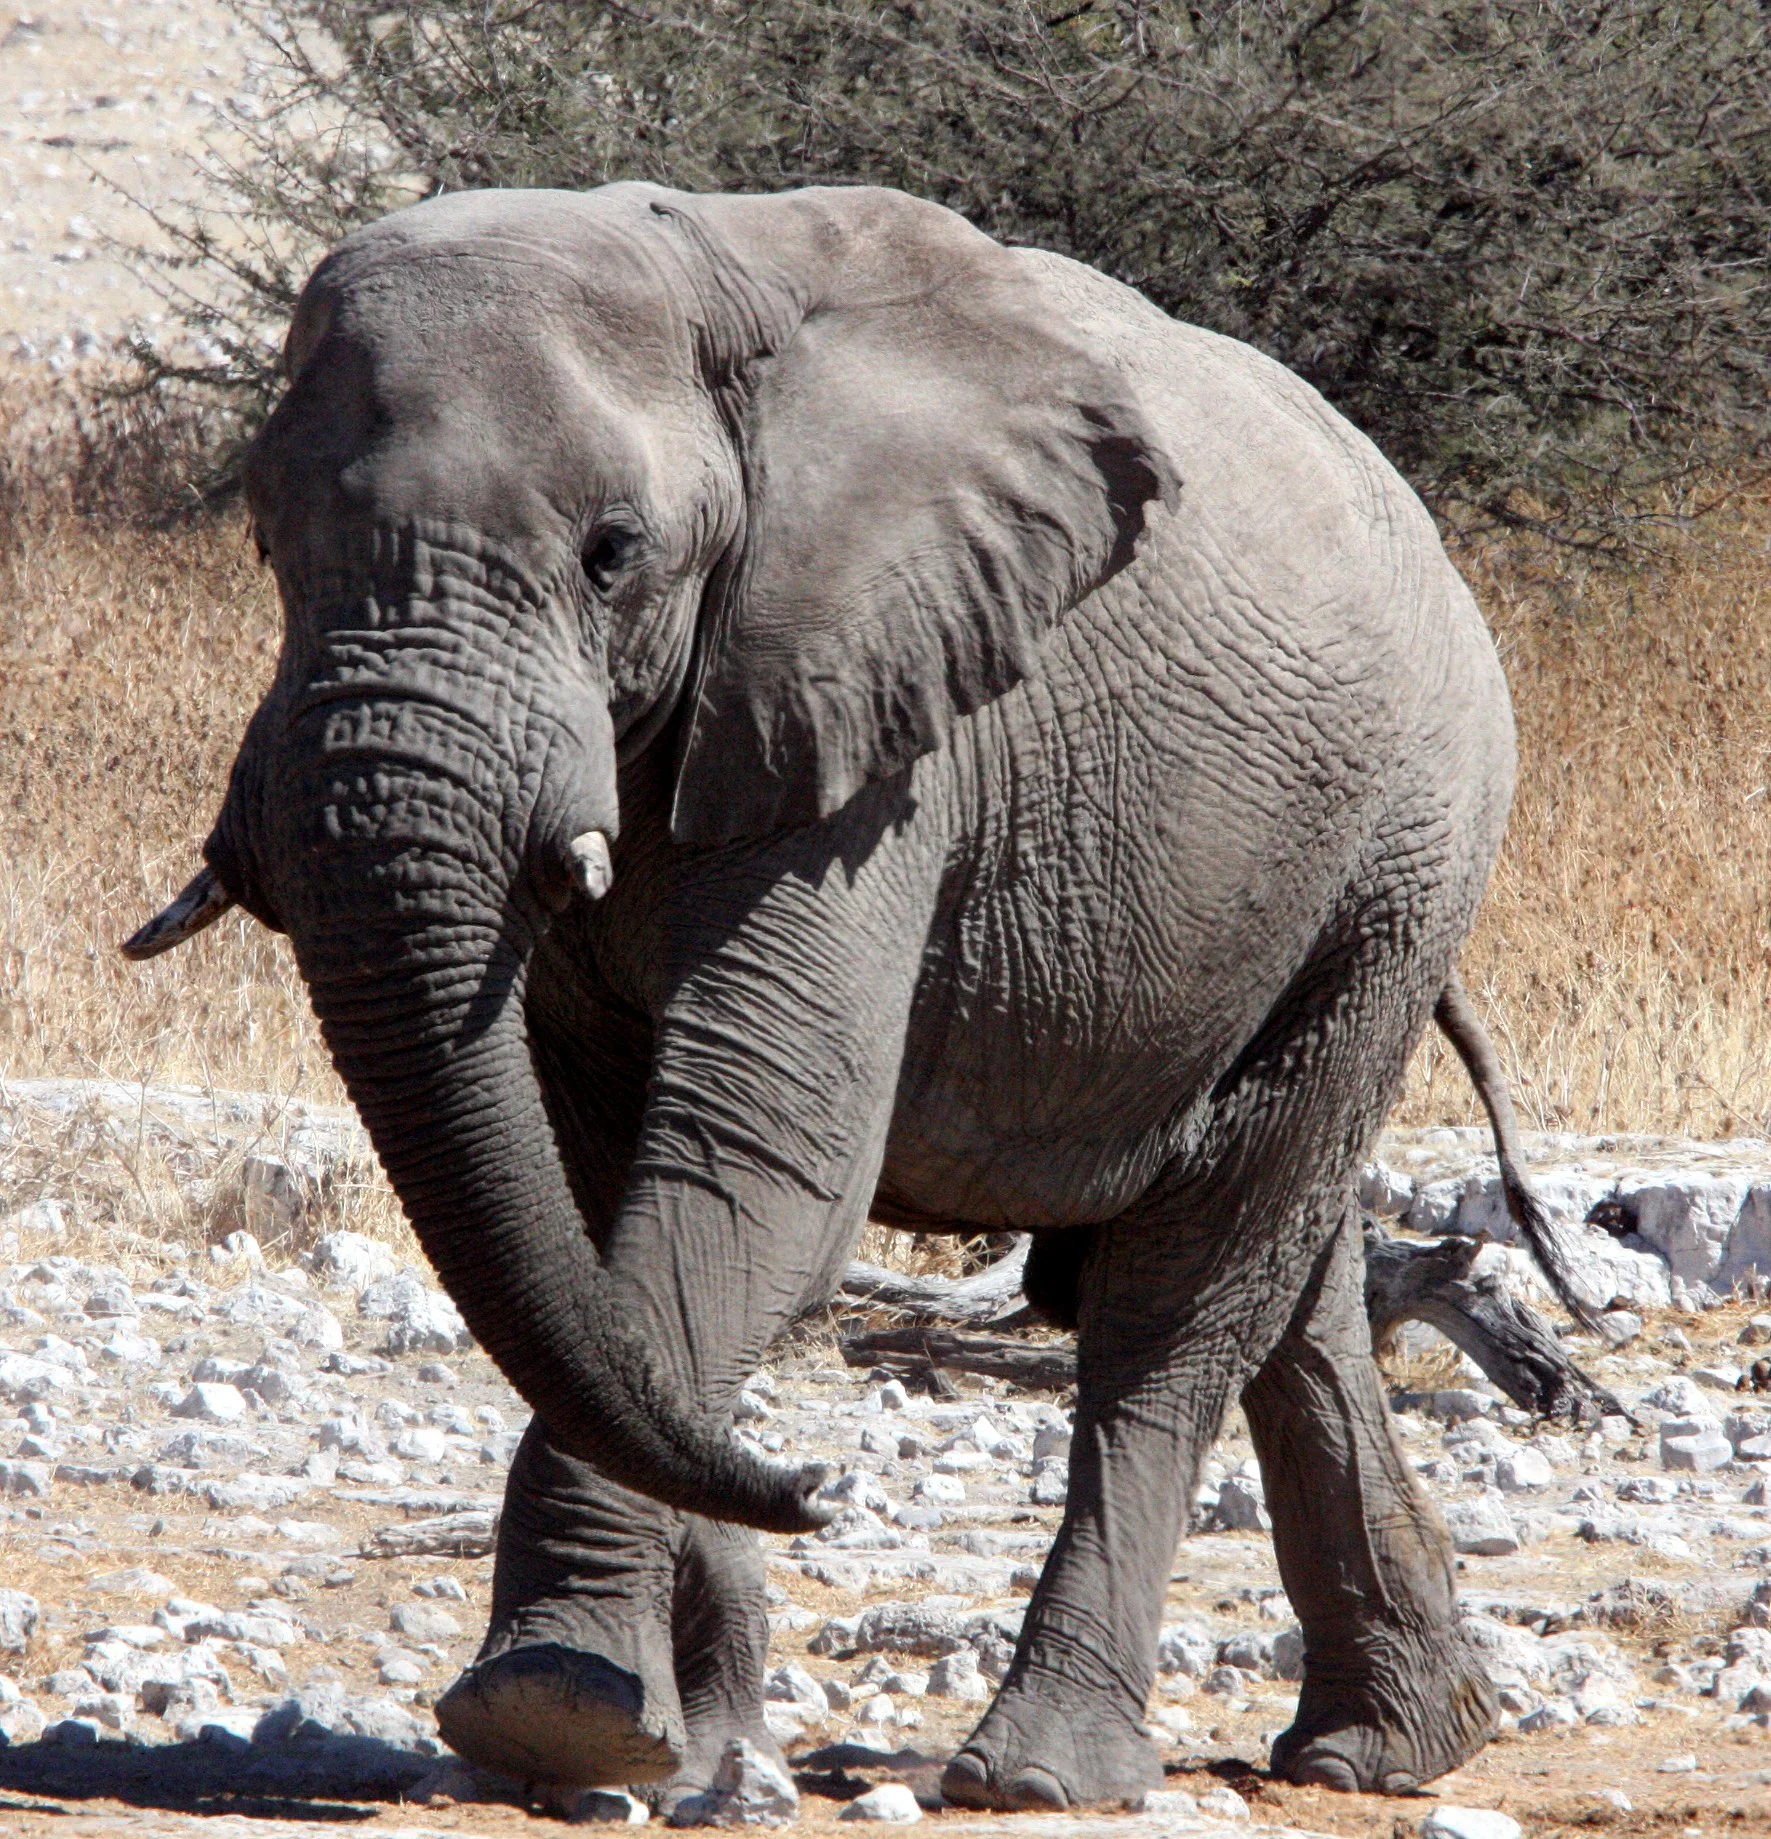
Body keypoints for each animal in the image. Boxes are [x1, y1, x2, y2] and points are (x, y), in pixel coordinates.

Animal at [125, 182, 1585, 1813]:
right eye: (266, 544)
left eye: (612, 553)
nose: (816, 1488)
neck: (703, 275)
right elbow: (604, 1208)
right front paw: (682, 1757)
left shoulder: (876, 728)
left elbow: (761, 1168)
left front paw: (549, 1712)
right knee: (1297, 1280)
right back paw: (1389, 1748)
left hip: (1404, 856)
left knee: (1182, 1295)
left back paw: (1042, 1776)